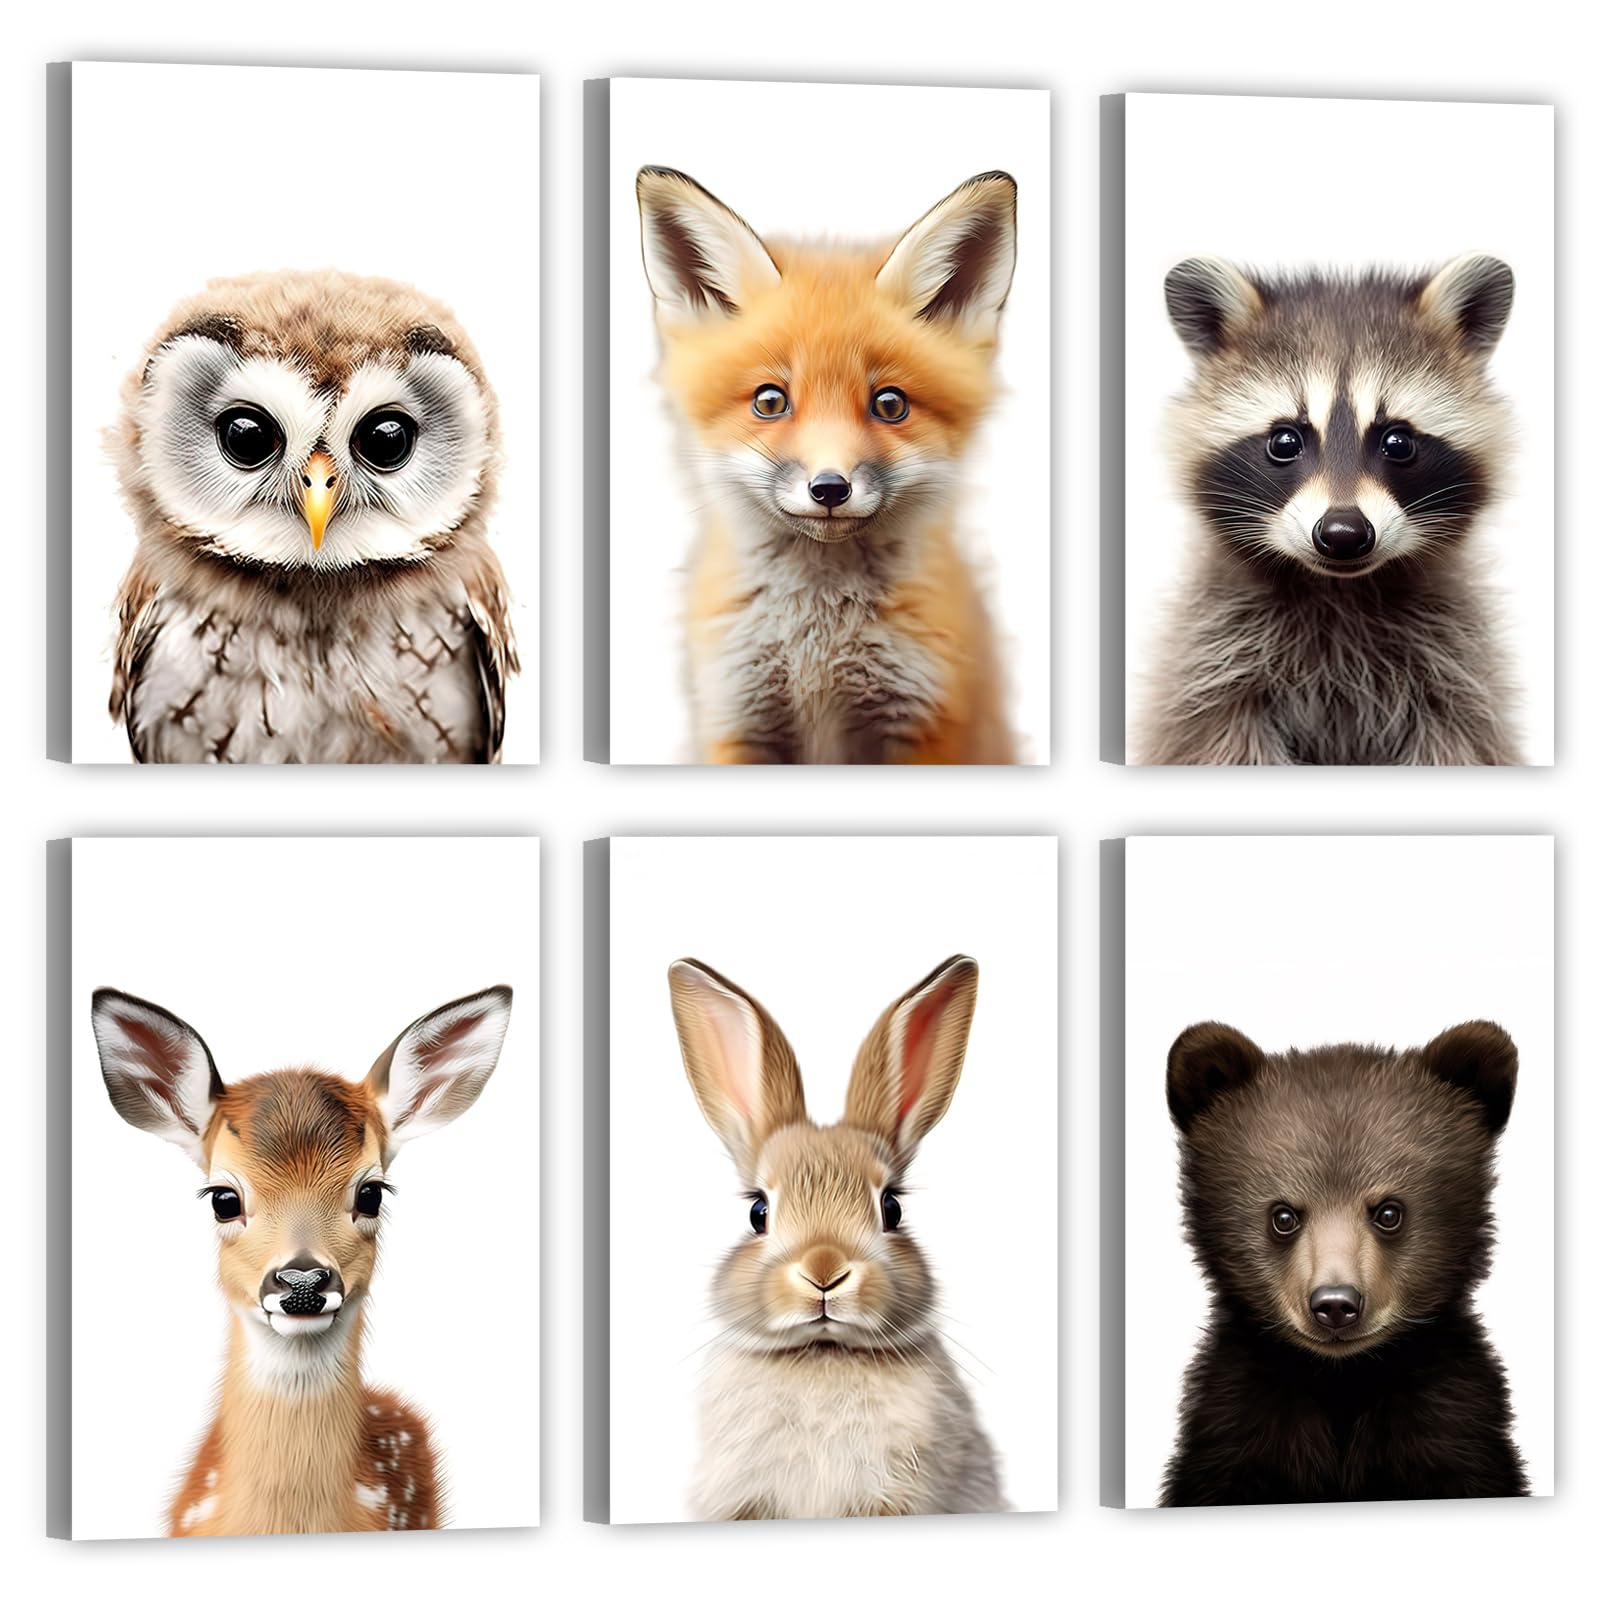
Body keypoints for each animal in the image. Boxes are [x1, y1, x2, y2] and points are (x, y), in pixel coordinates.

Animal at [635, 167, 1019, 764]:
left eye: (890, 405)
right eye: (770, 401)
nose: (830, 489)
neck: (817, 636)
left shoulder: (923, 723)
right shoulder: (738, 719)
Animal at [1136, 253, 1522, 766]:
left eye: (1398, 442)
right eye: (1284, 441)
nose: (1344, 532)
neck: (1339, 591)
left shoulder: (1455, 666)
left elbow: (1463, 742)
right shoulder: (1212, 657)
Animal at [1160, 1018, 1530, 1505]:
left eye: (1389, 1212)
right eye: (1283, 1216)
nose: (1335, 1304)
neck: (1342, 1382)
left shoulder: (1450, 1425)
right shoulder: (1237, 1428)